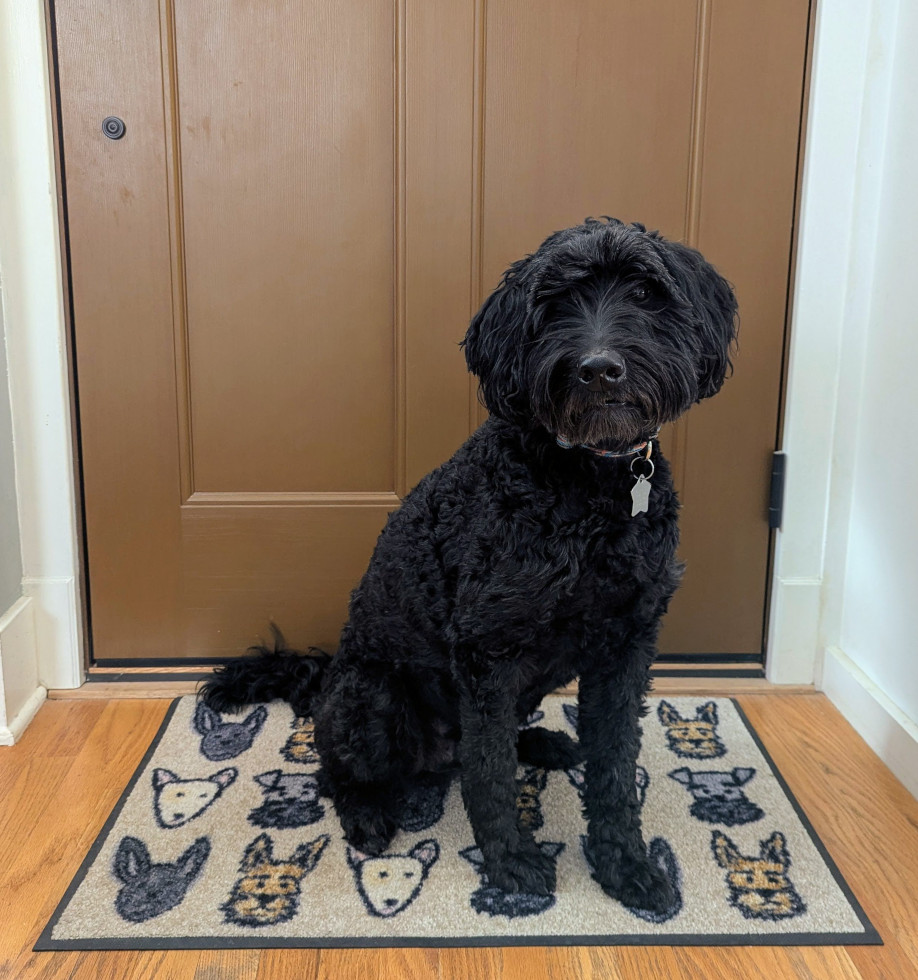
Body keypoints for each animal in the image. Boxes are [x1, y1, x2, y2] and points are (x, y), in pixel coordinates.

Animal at [203, 218, 740, 916]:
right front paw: (511, 864)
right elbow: (489, 778)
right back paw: (369, 815)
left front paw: (627, 867)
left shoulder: (627, 645)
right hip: (374, 700)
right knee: (342, 768)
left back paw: (544, 743)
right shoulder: (489, 652)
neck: (588, 487)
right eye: (553, 304)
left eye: (647, 292)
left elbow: (617, 767)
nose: (599, 369)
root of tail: (325, 680)